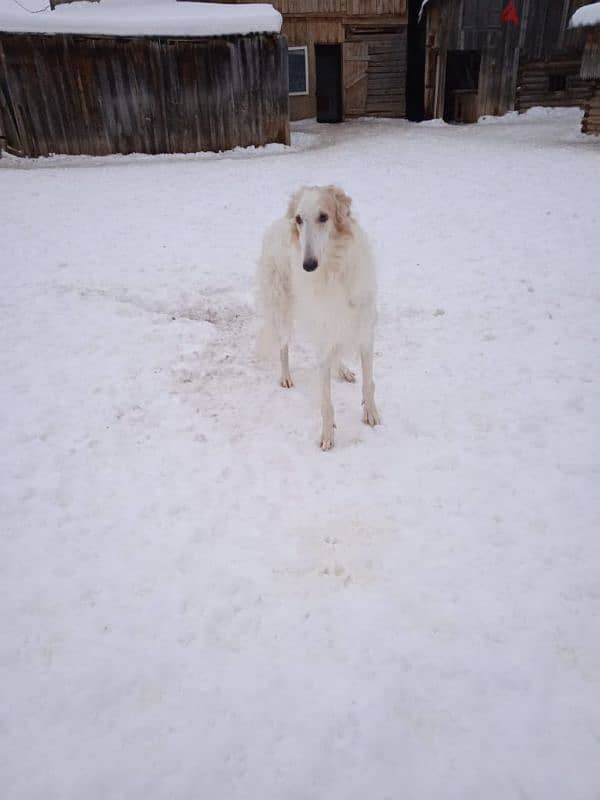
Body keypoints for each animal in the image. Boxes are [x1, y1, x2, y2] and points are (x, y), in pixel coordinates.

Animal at [256, 185, 380, 454]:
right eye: (299, 219)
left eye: (324, 217)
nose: (308, 265)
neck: (333, 268)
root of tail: (276, 223)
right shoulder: (324, 333)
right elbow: (326, 401)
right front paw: (327, 435)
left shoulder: (364, 331)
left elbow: (369, 383)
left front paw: (371, 414)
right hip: (282, 308)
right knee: (283, 346)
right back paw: (286, 377)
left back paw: (343, 371)